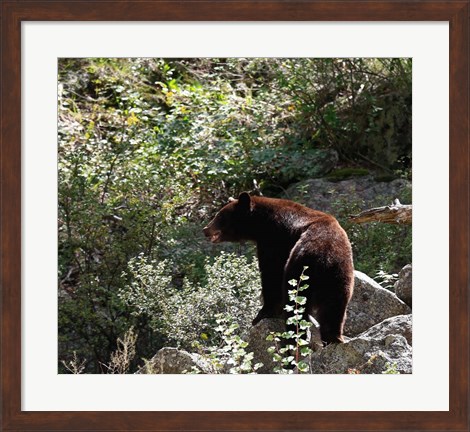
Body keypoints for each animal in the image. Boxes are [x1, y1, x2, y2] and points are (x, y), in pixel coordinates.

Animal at [202, 192, 352, 344]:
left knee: (295, 300)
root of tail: (325, 256)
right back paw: (333, 338)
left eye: (219, 216)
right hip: (339, 275)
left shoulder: (274, 240)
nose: (205, 230)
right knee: (334, 308)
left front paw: (262, 314)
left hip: (300, 266)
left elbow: (272, 274)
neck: (261, 222)